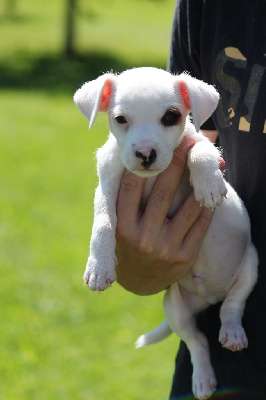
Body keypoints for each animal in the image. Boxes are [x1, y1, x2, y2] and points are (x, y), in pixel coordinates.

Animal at [73, 68, 258, 400]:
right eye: (120, 119)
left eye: (171, 117)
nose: (145, 153)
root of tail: (209, 297)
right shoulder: (106, 187)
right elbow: (103, 224)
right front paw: (98, 267)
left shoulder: (201, 141)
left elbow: (200, 150)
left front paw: (209, 185)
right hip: (175, 309)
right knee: (197, 341)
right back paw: (202, 378)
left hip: (251, 263)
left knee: (233, 305)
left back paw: (233, 332)